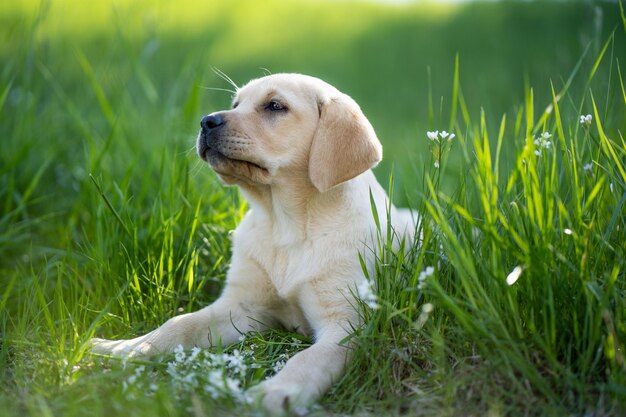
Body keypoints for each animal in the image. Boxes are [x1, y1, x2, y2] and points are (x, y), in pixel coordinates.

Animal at [90, 73, 414, 412]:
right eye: (235, 104)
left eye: (275, 106)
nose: (207, 121)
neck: (285, 224)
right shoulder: (242, 306)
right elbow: (179, 323)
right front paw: (126, 347)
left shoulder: (346, 324)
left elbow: (307, 359)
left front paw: (275, 392)